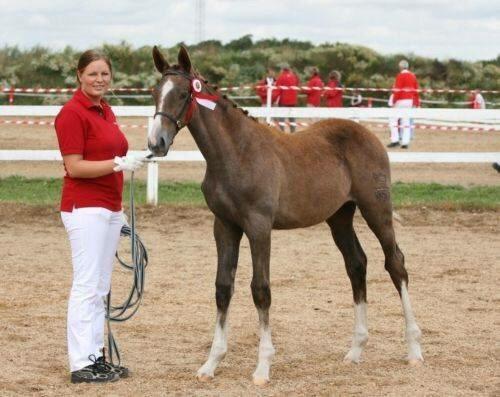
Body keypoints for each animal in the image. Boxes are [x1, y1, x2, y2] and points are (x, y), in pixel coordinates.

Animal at [147, 45, 422, 384]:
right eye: (155, 92)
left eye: (184, 93)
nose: (156, 142)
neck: (237, 153)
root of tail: (367, 135)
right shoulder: (224, 226)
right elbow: (223, 287)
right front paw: (211, 363)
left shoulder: (258, 226)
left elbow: (260, 289)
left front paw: (262, 367)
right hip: (340, 217)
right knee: (356, 265)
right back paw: (356, 350)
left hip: (376, 209)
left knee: (395, 263)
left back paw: (414, 349)